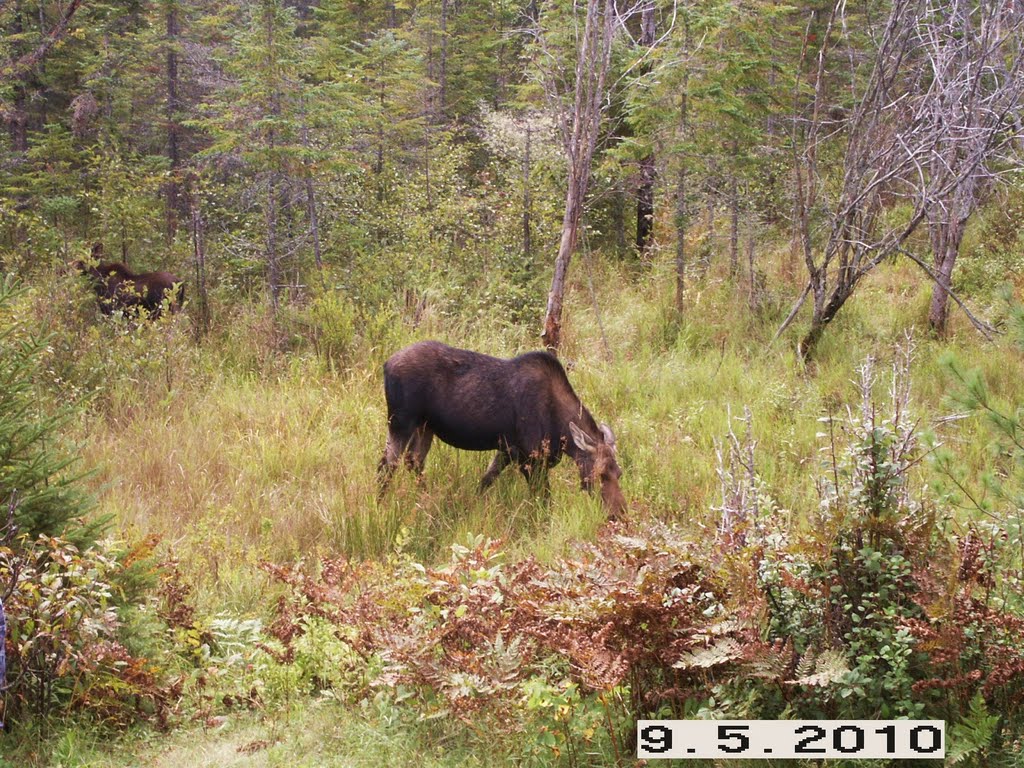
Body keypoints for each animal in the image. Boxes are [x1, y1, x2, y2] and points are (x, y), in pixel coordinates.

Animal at [380, 342, 626, 518]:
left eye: (619, 473)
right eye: (601, 474)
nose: (619, 514)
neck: (562, 434)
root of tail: (386, 364)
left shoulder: (509, 450)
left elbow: (486, 479)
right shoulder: (529, 458)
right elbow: (543, 500)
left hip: (425, 426)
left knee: (414, 461)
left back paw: (427, 500)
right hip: (401, 422)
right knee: (387, 465)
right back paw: (381, 506)